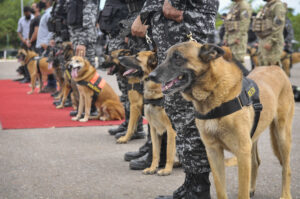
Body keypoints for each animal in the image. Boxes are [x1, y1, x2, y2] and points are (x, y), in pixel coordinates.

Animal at [149, 41, 294, 198]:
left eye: (177, 57)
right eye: (165, 57)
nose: (151, 76)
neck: (213, 95)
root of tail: (276, 67)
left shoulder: (242, 152)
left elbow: (242, 192)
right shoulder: (214, 152)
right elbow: (220, 190)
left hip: (282, 136)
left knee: (286, 167)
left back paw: (285, 194)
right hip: (254, 137)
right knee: (256, 161)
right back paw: (252, 188)